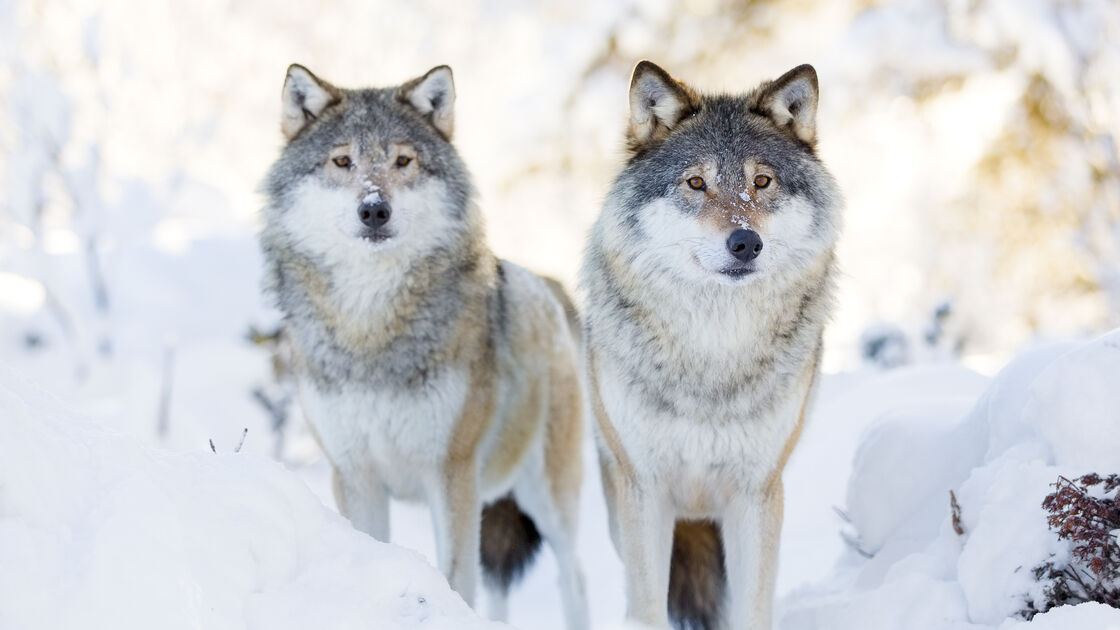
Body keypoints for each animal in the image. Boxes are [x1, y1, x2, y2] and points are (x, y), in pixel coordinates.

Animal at [259, 64, 588, 629]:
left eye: (402, 160)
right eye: (342, 161)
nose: (374, 209)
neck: (371, 329)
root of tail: (547, 287)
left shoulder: (450, 472)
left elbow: (455, 579)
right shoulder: (355, 475)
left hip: (549, 499)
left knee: (576, 580)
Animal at [580, 61, 841, 630]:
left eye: (761, 181)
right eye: (696, 183)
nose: (745, 243)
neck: (713, 353)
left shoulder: (757, 493)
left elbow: (752, 609)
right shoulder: (645, 490)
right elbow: (648, 608)